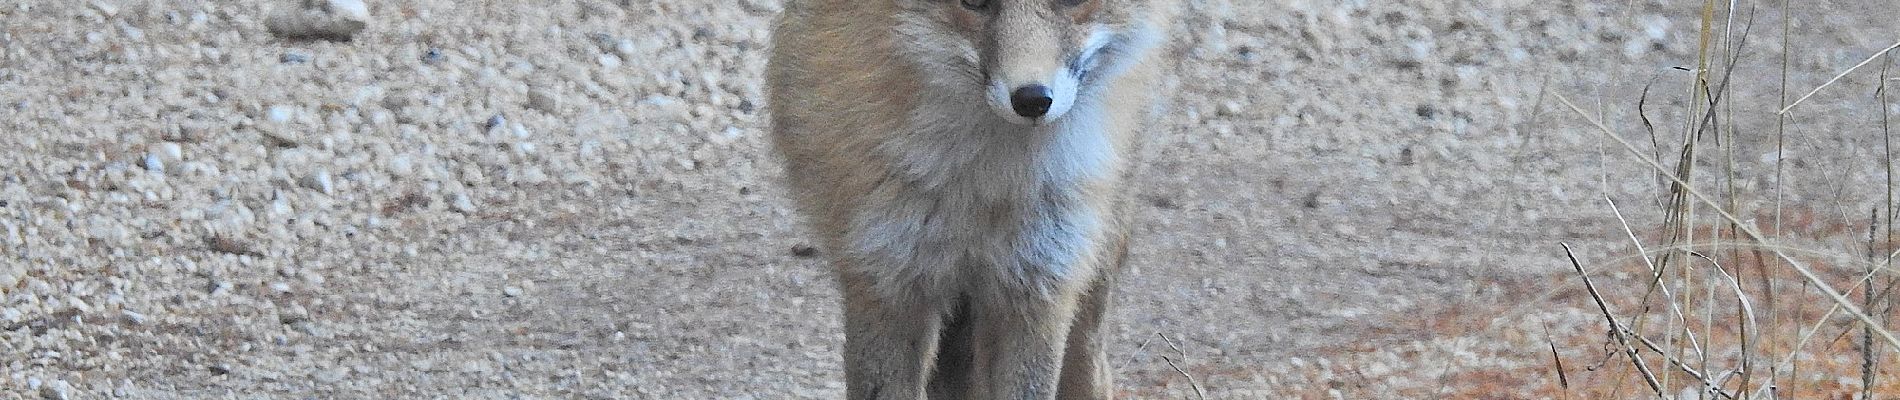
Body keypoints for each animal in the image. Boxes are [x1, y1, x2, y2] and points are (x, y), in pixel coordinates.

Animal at [763, 0, 1178, 398]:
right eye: (974, 3)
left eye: (1072, 0)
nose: (1032, 99)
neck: (986, 192)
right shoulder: (885, 283)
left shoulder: (1039, 287)